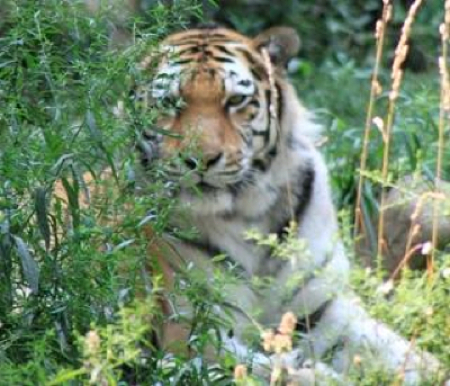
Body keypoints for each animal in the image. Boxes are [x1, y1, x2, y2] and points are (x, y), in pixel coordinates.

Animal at [135, 24, 448, 386]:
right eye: (170, 102)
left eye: (236, 101)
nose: (200, 159)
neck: (248, 214)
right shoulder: (190, 328)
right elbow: (268, 369)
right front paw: (310, 372)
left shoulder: (328, 308)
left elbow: (399, 350)